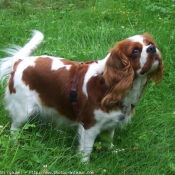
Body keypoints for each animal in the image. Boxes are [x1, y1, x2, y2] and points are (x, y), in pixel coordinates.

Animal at [0, 30, 163, 162]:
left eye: (151, 44)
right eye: (135, 51)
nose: (152, 48)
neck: (108, 84)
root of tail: (19, 62)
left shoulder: (112, 121)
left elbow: (108, 139)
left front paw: (112, 151)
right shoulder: (90, 126)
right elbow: (87, 150)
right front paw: (85, 166)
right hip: (23, 111)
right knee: (14, 128)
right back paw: (16, 143)